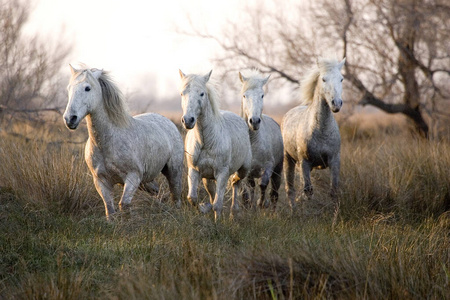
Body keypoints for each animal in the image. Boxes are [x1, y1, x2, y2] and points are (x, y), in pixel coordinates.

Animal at [62, 65, 184, 219]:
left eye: (87, 88)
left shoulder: (133, 177)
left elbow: (124, 204)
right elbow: (109, 208)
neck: (107, 143)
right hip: (146, 182)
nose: (70, 119)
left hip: (173, 171)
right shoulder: (101, 181)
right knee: (156, 190)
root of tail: (168, 121)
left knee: (176, 196)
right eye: (69, 88)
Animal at [178, 69, 251, 220]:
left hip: (244, 169)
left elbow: (218, 204)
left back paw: (234, 212)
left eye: (202, 93)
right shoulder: (194, 170)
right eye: (182, 93)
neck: (206, 141)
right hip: (207, 177)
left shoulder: (222, 173)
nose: (188, 120)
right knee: (213, 193)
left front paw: (218, 222)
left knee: (236, 183)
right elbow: (192, 198)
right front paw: (204, 208)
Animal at [237, 69, 284, 211]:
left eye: (262, 95)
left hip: (278, 171)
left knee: (274, 193)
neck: (253, 142)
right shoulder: (247, 171)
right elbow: (249, 189)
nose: (255, 121)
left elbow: (263, 184)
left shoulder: (268, 166)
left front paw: (262, 203)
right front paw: (251, 206)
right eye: (244, 96)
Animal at [284, 58, 346, 209]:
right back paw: (293, 209)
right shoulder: (304, 162)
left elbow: (334, 190)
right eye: (323, 79)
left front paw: (335, 213)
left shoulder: (334, 160)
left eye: (341, 79)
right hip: (289, 160)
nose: (336, 104)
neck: (321, 131)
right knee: (290, 189)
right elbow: (308, 191)